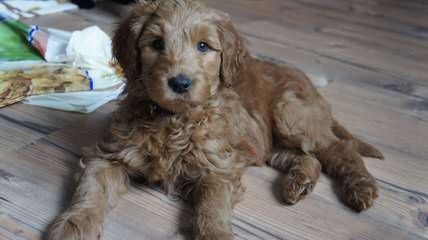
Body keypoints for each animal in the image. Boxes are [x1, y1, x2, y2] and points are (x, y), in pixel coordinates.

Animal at [47, 0, 384, 239]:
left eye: (203, 46)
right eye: (157, 44)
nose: (180, 83)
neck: (173, 119)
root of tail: (310, 84)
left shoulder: (218, 167)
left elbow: (213, 206)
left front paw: (217, 234)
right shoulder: (109, 155)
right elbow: (91, 191)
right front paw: (73, 226)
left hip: (291, 115)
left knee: (339, 151)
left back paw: (361, 189)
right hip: (266, 142)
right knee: (307, 157)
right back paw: (297, 184)